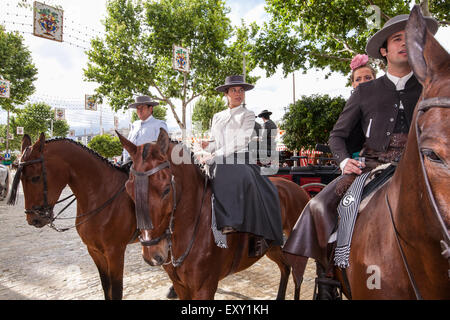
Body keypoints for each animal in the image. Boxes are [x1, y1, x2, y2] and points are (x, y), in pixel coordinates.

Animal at [7, 134, 139, 300]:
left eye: (35, 178)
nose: (33, 219)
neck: (102, 194)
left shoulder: (115, 252)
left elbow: (115, 291)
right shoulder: (94, 251)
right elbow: (106, 287)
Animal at [118, 129, 312, 298]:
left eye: (166, 190)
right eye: (128, 189)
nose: (152, 254)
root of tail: (299, 190)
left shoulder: (205, 288)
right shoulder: (180, 286)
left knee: (298, 275)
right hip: (273, 247)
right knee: (285, 268)